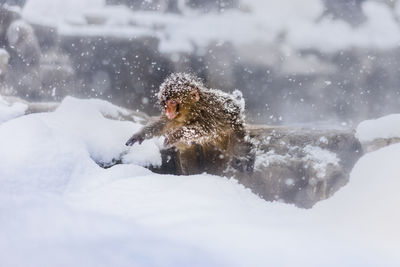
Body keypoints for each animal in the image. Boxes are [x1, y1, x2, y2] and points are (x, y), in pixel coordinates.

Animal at [126, 73, 255, 176]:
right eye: (166, 103)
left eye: (173, 102)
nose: (168, 111)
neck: (194, 110)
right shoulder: (176, 118)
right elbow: (164, 123)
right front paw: (140, 135)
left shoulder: (211, 111)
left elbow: (207, 128)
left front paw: (175, 136)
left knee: (238, 142)